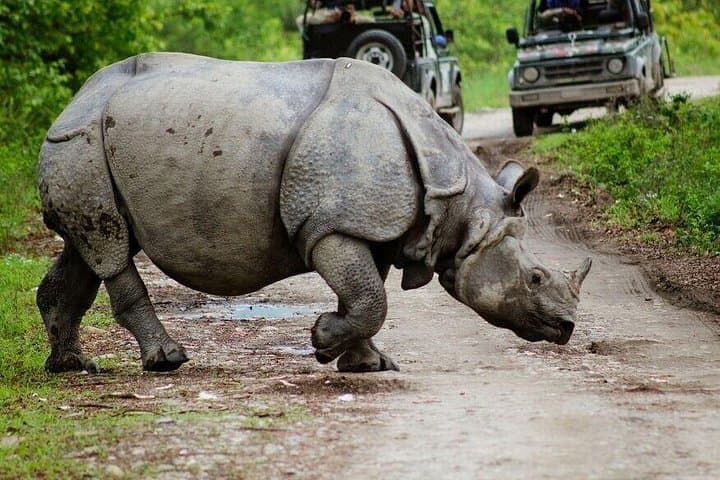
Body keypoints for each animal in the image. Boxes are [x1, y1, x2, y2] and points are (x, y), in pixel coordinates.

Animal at [37, 53, 591, 374]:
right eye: (535, 277)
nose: (566, 328)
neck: (460, 207)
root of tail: (74, 99)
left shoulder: (371, 226)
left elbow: (367, 296)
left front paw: (368, 364)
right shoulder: (329, 226)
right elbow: (369, 299)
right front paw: (323, 342)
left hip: (94, 142)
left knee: (89, 247)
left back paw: (71, 366)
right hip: (82, 141)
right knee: (109, 248)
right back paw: (167, 362)